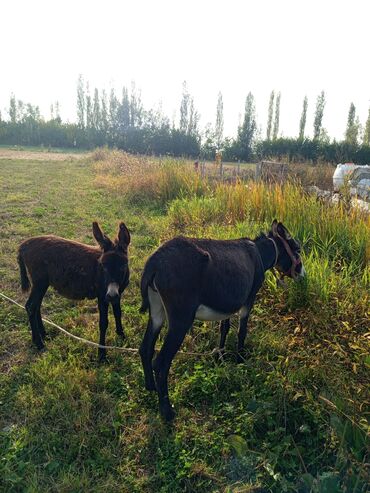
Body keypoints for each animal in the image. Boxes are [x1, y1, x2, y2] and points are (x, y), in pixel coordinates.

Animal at [19, 221, 132, 360]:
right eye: (103, 266)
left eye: (123, 265)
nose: (111, 295)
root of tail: (23, 245)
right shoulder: (102, 295)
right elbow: (103, 323)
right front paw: (101, 354)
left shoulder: (118, 294)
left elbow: (118, 314)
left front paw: (122, 337)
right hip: (39, 281)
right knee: (30, 306)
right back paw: (39, 343)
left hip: (42, 283)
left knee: (36, 306)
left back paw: (44, 335)